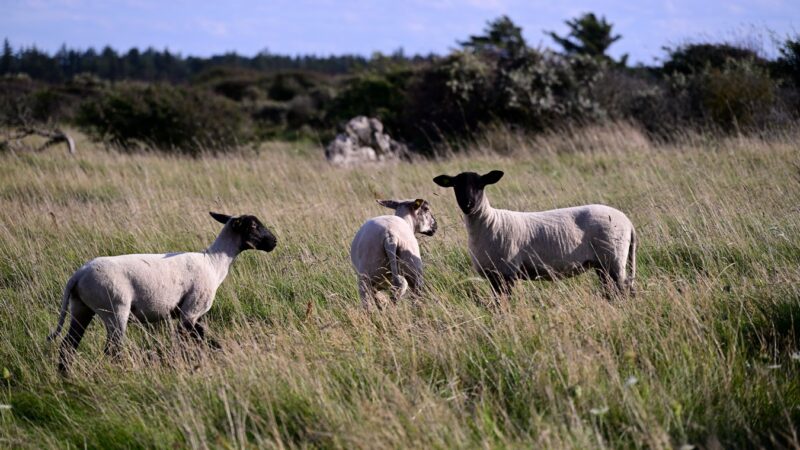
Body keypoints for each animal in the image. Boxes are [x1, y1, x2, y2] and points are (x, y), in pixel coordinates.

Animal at [47, 212, 277, 373]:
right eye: (253, 225)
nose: (274, 242)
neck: (214, 262)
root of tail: (78, 275)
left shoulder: (195, 315)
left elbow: (203, 339)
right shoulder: (190, 311)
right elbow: (189, 342)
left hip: (81, 308)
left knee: (68, 346)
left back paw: (65, 377)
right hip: (115, 309)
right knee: (112, 350)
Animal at [433, 170, 636, 300]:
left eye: (480, 185)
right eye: (455, 186)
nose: (468, 204)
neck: (490, 222)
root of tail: (628, 222)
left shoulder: (507, 271)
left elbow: (504, 302)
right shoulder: (493, 275)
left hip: (613, 259)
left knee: (621, 291)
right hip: (603, 265)